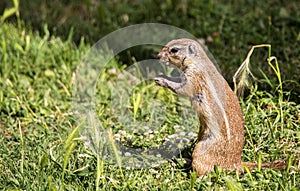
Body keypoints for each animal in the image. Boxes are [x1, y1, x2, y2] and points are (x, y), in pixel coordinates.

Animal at [155, 38, 286, 175]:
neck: (197, 61)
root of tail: (236, 163)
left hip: (202, 150)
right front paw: (162, 76)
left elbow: (184, 89)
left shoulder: (195, 77)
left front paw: (162, 80)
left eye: (174, 50)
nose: (157, 56)